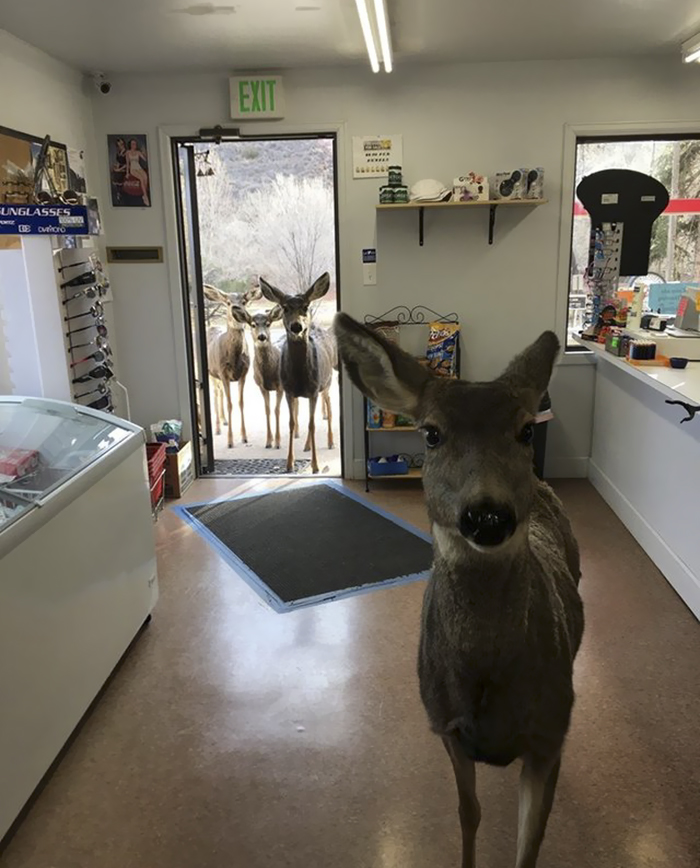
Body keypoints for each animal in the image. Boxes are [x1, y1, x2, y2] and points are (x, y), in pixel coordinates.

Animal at [204, 284, 262, 448]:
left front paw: (244, 437)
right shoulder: (223, 373)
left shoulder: (243, 374)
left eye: (244, 301)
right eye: (228, 302)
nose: (236, 309)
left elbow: (240, 403)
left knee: (219, 393)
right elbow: (230, 404)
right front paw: (230, 441)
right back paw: (217, 428)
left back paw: (223, 421)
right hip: (210, 372)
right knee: (216, 394)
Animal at [260, 272, 336, 472]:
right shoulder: (288, 390)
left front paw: (316, 465)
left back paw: (331, 442)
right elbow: (292, 423)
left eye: (305, 306)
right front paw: (289, 463)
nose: (296, 327)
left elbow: (312, 424)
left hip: (327, 382)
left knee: (328, 406)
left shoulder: (314, 389)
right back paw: (307, 446)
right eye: (285, 308)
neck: (301, 377)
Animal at [334, 316, 584, 868]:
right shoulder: (444, 723)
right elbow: (467, 813)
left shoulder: (550, 734)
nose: (487, 515)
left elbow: (531, 841)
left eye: (526, 429)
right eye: (430, 433)